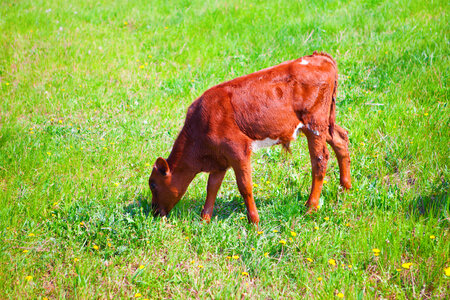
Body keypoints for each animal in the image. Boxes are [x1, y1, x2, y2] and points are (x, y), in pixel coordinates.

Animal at [149, 52, 352, 225]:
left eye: (153, 185)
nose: (154, 212)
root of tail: (318, 57)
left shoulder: (238, 150)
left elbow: (245, 186)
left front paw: (254, 222)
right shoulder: (220, 159)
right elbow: (212, 187)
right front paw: (204, 220)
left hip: (314, 124)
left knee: (319, 161)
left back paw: (311, 207)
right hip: (323, 125)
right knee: (341, 139)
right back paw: (345, 187)